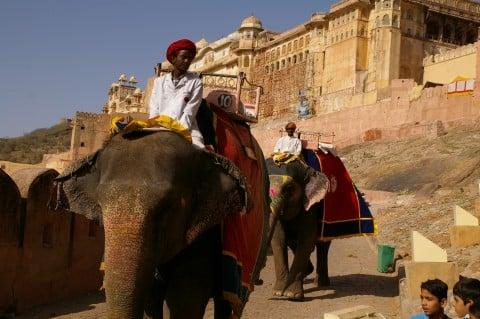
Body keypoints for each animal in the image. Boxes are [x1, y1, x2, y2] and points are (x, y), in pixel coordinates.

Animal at [266, 160, 330, 302]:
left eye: (289, 189)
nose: (259, 281)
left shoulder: (310, 203)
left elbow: (307, 239)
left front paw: (292, 295)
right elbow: (278, 240)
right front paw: (278, 293)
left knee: (323, 245)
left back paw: (321, 283)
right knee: (293, 243)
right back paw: (307, 273)